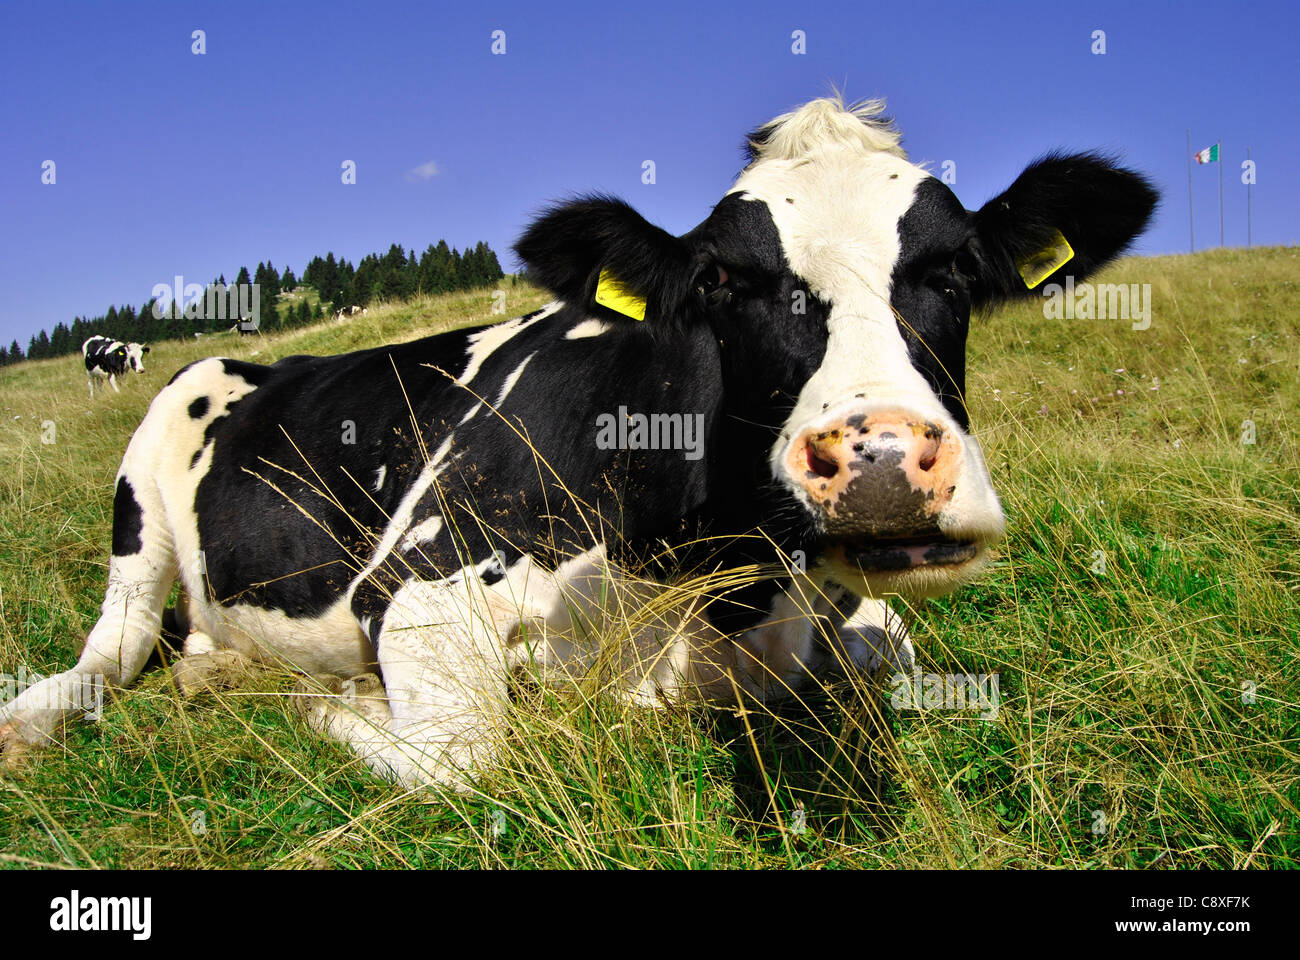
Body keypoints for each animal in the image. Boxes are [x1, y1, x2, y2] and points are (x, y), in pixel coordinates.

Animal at [1, 98, 1156, 789]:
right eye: (720, 279)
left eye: (955, 269)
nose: (876, 464)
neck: (714, 588)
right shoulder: (417, 580)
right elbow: (462, 753)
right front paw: (331, 702)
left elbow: (890, 653)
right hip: (148, 486)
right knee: (108, 649)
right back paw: (48, 715)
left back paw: (213, 675)